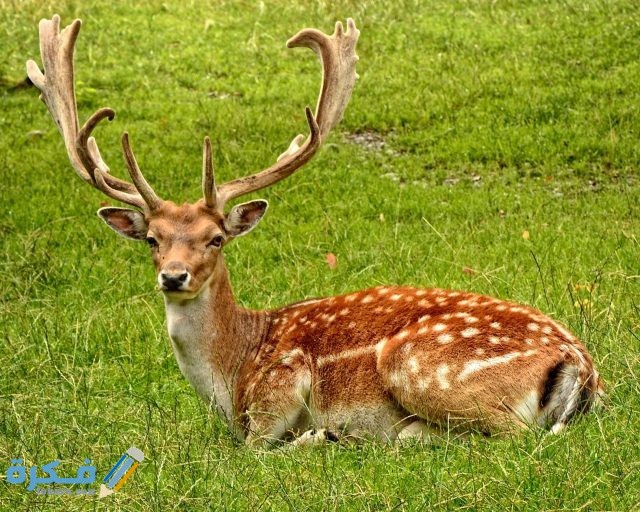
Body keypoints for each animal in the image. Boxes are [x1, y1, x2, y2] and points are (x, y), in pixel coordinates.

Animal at [27, 15, 603, 447]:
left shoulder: (280, 386)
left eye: (216, 238)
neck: (233, 374)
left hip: (418, 364)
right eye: (153, 239)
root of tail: (580, 365)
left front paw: (317, 435)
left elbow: (255, 448)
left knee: (511, 434)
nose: (173, 276)